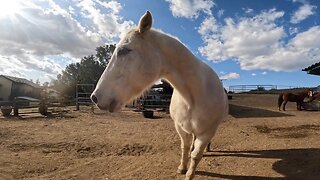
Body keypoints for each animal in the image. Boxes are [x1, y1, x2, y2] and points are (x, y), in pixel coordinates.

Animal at [91, 10, 229, 179]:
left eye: (124, 50)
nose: (95, 97)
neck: (192, 97)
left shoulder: (207, 132)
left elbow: (196, 155)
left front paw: (189, 174)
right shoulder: (180, 128)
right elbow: (185, 147)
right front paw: (182, 168)